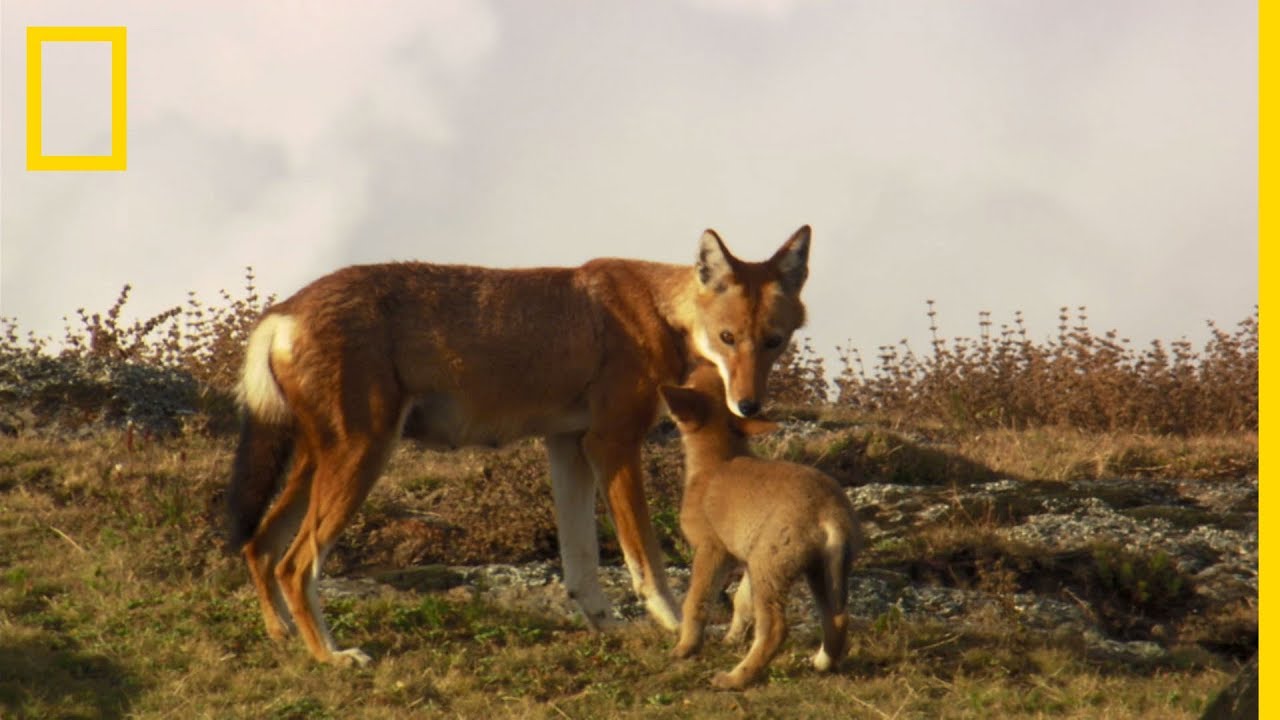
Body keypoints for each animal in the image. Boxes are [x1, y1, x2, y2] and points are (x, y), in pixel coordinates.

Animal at [229, 224, 808, 661]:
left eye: (774, 343)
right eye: (728, 339)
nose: (749, 405)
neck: (659, 311)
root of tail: (283, 311)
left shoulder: (569, 445)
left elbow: (581, 565)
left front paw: (607, 627)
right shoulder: (613, 443)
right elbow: (647, 560)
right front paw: (674, 627)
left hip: (321, 462)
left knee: (259, 546)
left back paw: (283, 638)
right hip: (361, 459)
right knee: (294, 564)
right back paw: (333, 656)